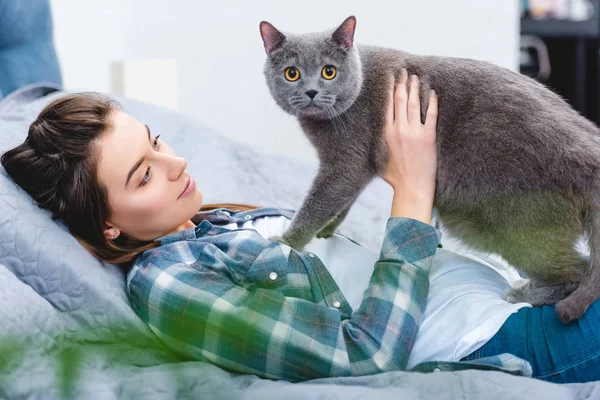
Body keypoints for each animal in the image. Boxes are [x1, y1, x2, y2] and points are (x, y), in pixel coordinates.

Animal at [260, 15, 600, 324]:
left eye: (328, 72)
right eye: (292, 74)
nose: (311, 92)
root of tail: (590, 153)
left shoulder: (346, 161)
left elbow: (319, 201)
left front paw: (286, 242)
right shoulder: (355, 169)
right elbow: (343, 201)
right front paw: (329, 229)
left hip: (518, 226)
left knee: (577, 271)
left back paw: (524, 293)